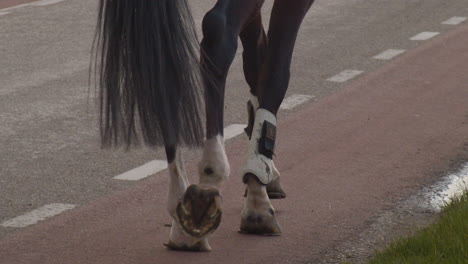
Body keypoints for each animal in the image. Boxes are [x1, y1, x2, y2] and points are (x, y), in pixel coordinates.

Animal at [94, 0, 314, 252]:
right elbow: (275, 71)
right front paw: (257, 197)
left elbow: (256, 58)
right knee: (219, 34)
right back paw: (210, 179)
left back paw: (182, 213)